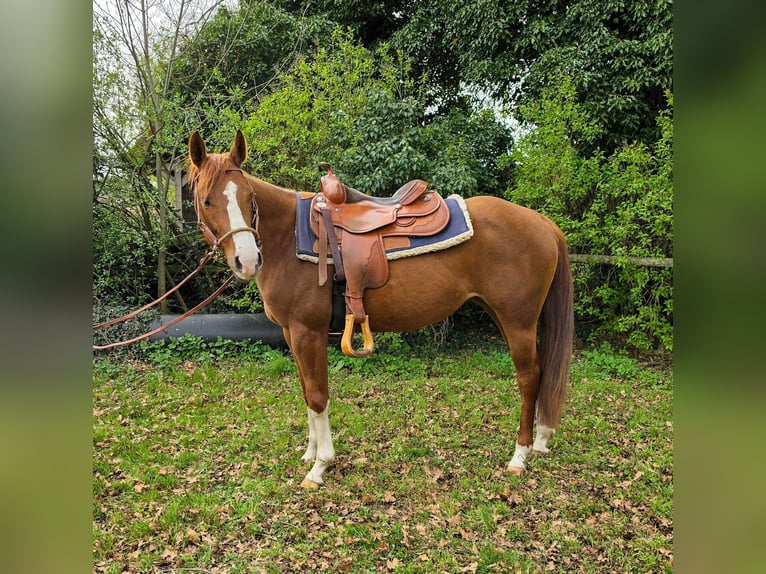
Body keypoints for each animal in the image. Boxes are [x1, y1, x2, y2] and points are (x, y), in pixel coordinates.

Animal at [187, 130, 574, 489]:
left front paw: (320, 466)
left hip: (518, 321)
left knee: (529, 377)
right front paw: (310, 453)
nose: (247, 260)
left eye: (249, 197)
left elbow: (317, 395)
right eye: (207, 201)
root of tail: (542, 222)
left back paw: (520, 455)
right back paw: (539, 441)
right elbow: (306, 391)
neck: (288, 238)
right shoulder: (290, 333)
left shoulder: (308, 332)